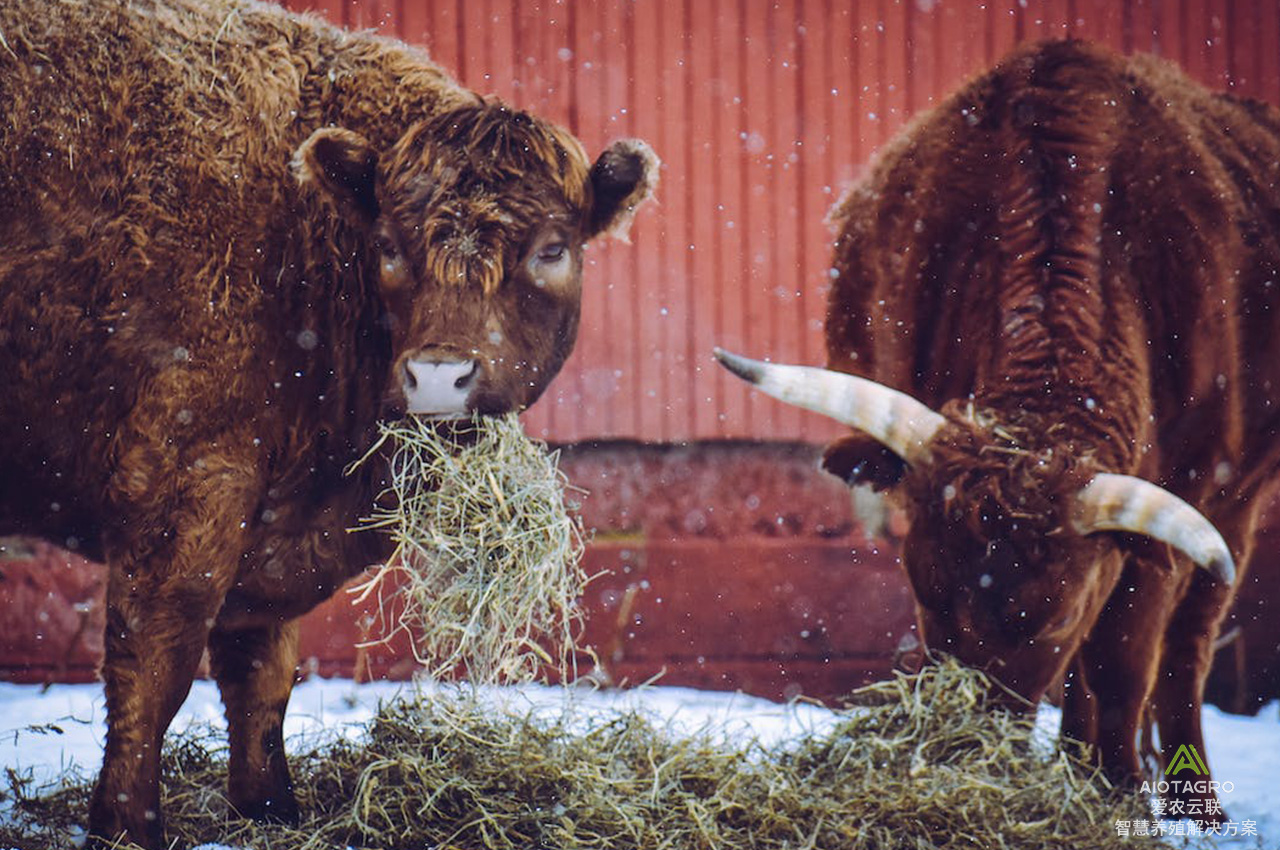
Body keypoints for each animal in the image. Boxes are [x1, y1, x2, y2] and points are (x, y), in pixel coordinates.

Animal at [0, 1, 655, 850]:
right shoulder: (184, 490)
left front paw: (271, 806)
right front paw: (125, 826)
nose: (438, 375)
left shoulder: (263, 531)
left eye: (552, 248)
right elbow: (155, 665)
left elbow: (262, 672)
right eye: (388, 245)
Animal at [716, 41, 1280, 824]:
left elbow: (1123, 659)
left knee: (1185, 647)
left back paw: (1187, 801)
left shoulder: (1174, 514)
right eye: (926, 594)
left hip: (1239, 505)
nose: (964, 749)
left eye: (1050, 621)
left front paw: (1119, 792)